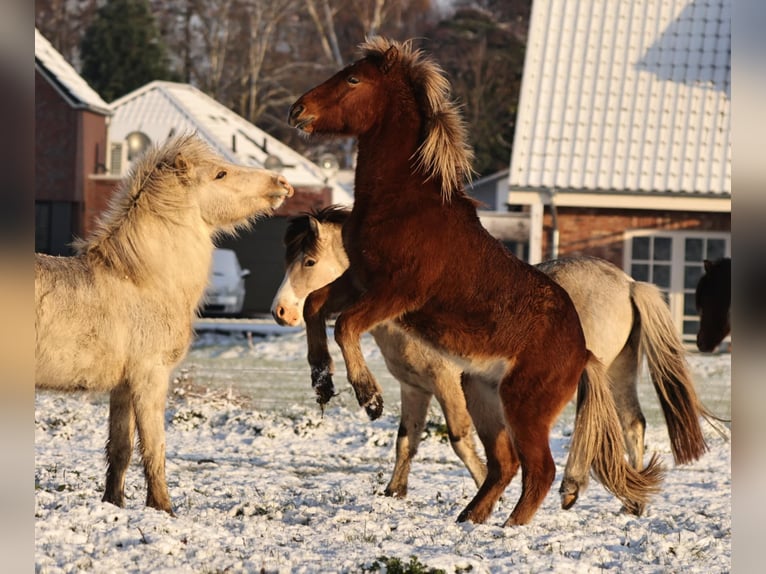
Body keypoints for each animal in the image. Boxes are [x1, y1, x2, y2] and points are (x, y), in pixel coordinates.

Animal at [35, 136, 294, 516]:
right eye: (220, 173)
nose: (282, 183)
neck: (142, 278)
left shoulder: (123, 386)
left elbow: (121, 449)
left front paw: (114, 504)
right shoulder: (151, 377)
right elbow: (154, 448)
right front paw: (164, 509)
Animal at [292, 38, 664, 528]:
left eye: (354, 79)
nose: (298, 110)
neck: (404, 203)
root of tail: (583, 353)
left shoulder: (397, 292)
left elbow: (345, 325)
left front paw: (369, 398)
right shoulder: (359, 279)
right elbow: (315, 306)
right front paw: (322, 381)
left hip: (522, 406)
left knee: (539, 469)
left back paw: (509, 528)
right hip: (480, 393)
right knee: (504, 463)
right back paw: (470, 519)